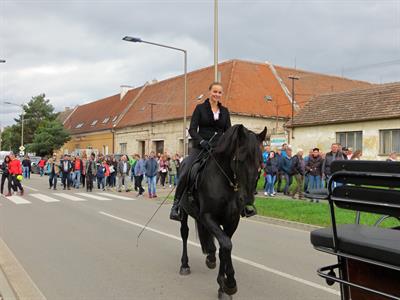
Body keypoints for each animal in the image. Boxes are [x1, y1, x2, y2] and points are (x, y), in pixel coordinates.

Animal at [178, 123, 266, 298]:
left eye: (260, 162)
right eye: (239, 160)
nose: (247, 202)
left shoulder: (231, 221)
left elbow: (225, 247)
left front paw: (223, 286)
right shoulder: (208, 217)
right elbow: (226, 244)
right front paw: (230, 283)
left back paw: (210, 256)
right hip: (184, 212)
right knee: (184, 233)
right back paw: (185, 265)